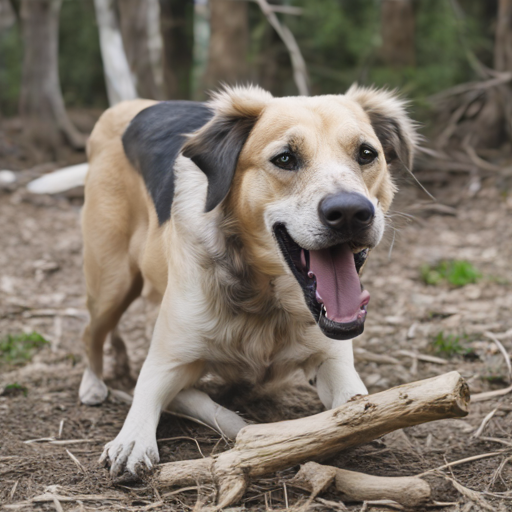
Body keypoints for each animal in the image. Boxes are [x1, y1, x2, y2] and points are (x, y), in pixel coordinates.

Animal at [79, 85, 416, 480]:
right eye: (285, 158)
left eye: (366, 153)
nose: (350, 212)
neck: (265, 299)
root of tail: (127, 107)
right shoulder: (167, 362)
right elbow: (165, 399)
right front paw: (133, 440)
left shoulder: (332, 358)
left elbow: (355, 401)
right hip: (111, 281)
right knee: (91, 332)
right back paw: (93, 384)